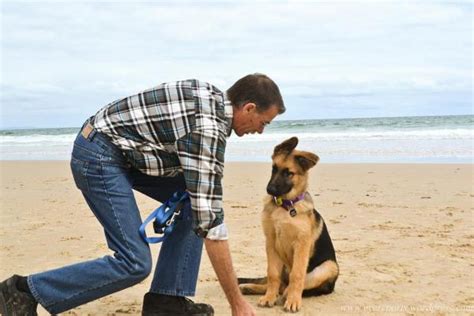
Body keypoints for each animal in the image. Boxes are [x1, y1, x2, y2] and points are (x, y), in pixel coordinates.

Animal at [239, 137, 338, 312]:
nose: (270, 189)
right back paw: (250, 287)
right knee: (280, 283)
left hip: (328, 266)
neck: (284, 206)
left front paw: (293, 300)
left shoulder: (301, 244)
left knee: (295, 284)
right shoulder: (271, 242)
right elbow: (272, 274)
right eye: (273, 169)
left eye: (289, 173)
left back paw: (287, 295)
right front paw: (269, 298)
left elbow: (297, 275)